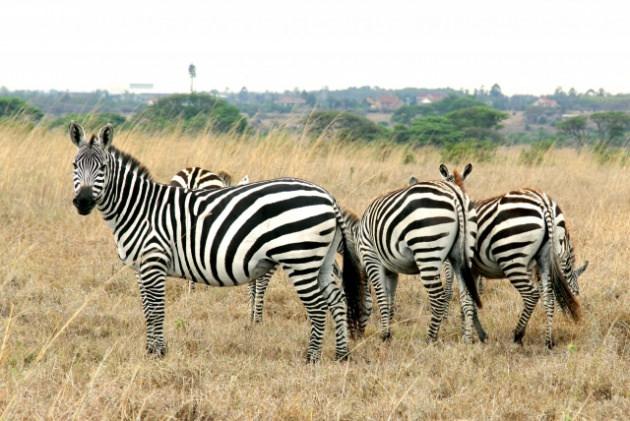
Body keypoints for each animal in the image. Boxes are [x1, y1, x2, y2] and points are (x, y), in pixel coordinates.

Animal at [69, 122, 366, 360]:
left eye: (102, 167)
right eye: (74, 166)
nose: (82, 202)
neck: (140, 208)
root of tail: (328, 196)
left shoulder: (153, 261)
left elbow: (155, 309)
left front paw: (158, 353)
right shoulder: (142, 267)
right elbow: (147, 309)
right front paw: (151, 350)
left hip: (299, 258)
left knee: (318, 306)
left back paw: (311, 358)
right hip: (321, 259)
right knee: (337, 300)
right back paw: (342, 355)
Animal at [356, 172, 484, 342]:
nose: (358, 335)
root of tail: (455, 194)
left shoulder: (371, 257)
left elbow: (382, 298)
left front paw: (384, 335)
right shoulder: (391, 268)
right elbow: (390, 300)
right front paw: (388, 333)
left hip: (426, 249)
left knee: (438, 299)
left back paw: (430, 339)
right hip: (461, 256)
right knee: (467, 298)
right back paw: (466, 339)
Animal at [436, 164, 592, 348]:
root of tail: (544, 203)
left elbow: (458, 294)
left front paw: (465, 335)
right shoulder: (473, 269)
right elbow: (470, 298)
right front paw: (471, 332)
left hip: (512, 255)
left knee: (532, 295)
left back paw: (518, 335)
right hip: (544, 259)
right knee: (549, 297)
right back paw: (548, 341)